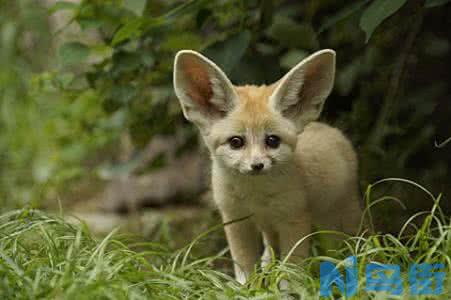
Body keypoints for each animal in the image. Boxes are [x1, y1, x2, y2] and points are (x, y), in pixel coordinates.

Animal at [174, 48, 364, 284]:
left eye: (272, 140)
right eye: (236, 142)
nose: (257, 165)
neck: (256, 198)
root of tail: (329, 129)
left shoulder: (294, 219)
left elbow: (291, 270)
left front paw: (289, 290)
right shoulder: (236, 220)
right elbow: (245, 268)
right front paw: (247, 288)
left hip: (339, 220)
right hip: (271, 229)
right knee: (269, 254)